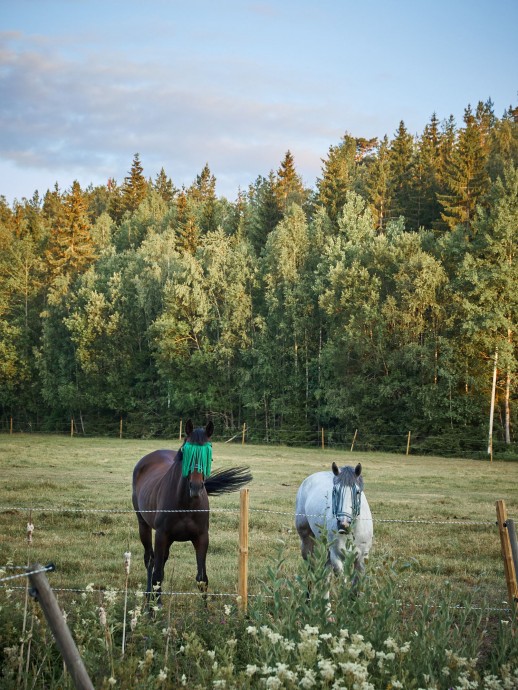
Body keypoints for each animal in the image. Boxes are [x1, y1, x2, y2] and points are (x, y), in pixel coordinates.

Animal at [133, 416, 253, 600]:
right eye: (186, 452)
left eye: (209, 453)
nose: (196, 487)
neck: (186, 505)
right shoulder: (161, 535)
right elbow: (158, 575)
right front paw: (155, 607)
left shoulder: (201, 537)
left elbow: (202, 579)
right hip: (143, 525)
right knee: (150, 560)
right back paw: (148, 597)